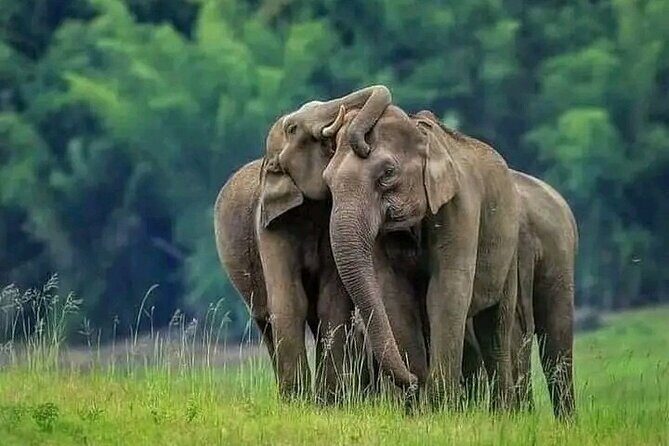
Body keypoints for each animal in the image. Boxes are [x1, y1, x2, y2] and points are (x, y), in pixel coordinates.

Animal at [214, 86, 406, 402]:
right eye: (292, 128)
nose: (363, 145)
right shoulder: (269, 225)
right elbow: (289, 300)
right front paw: (299, 402)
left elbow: (331, 301)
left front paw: (328, 402)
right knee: (266, 320)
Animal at [323, 106, 522, 409]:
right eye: (327, 182)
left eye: (388, 173)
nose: (413, 381)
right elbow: (394, 295)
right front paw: (419, 407)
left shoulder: (460, 207)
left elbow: (447, 290)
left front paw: (441, 406)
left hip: (509, 248)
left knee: (495, 327)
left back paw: (504, 412)